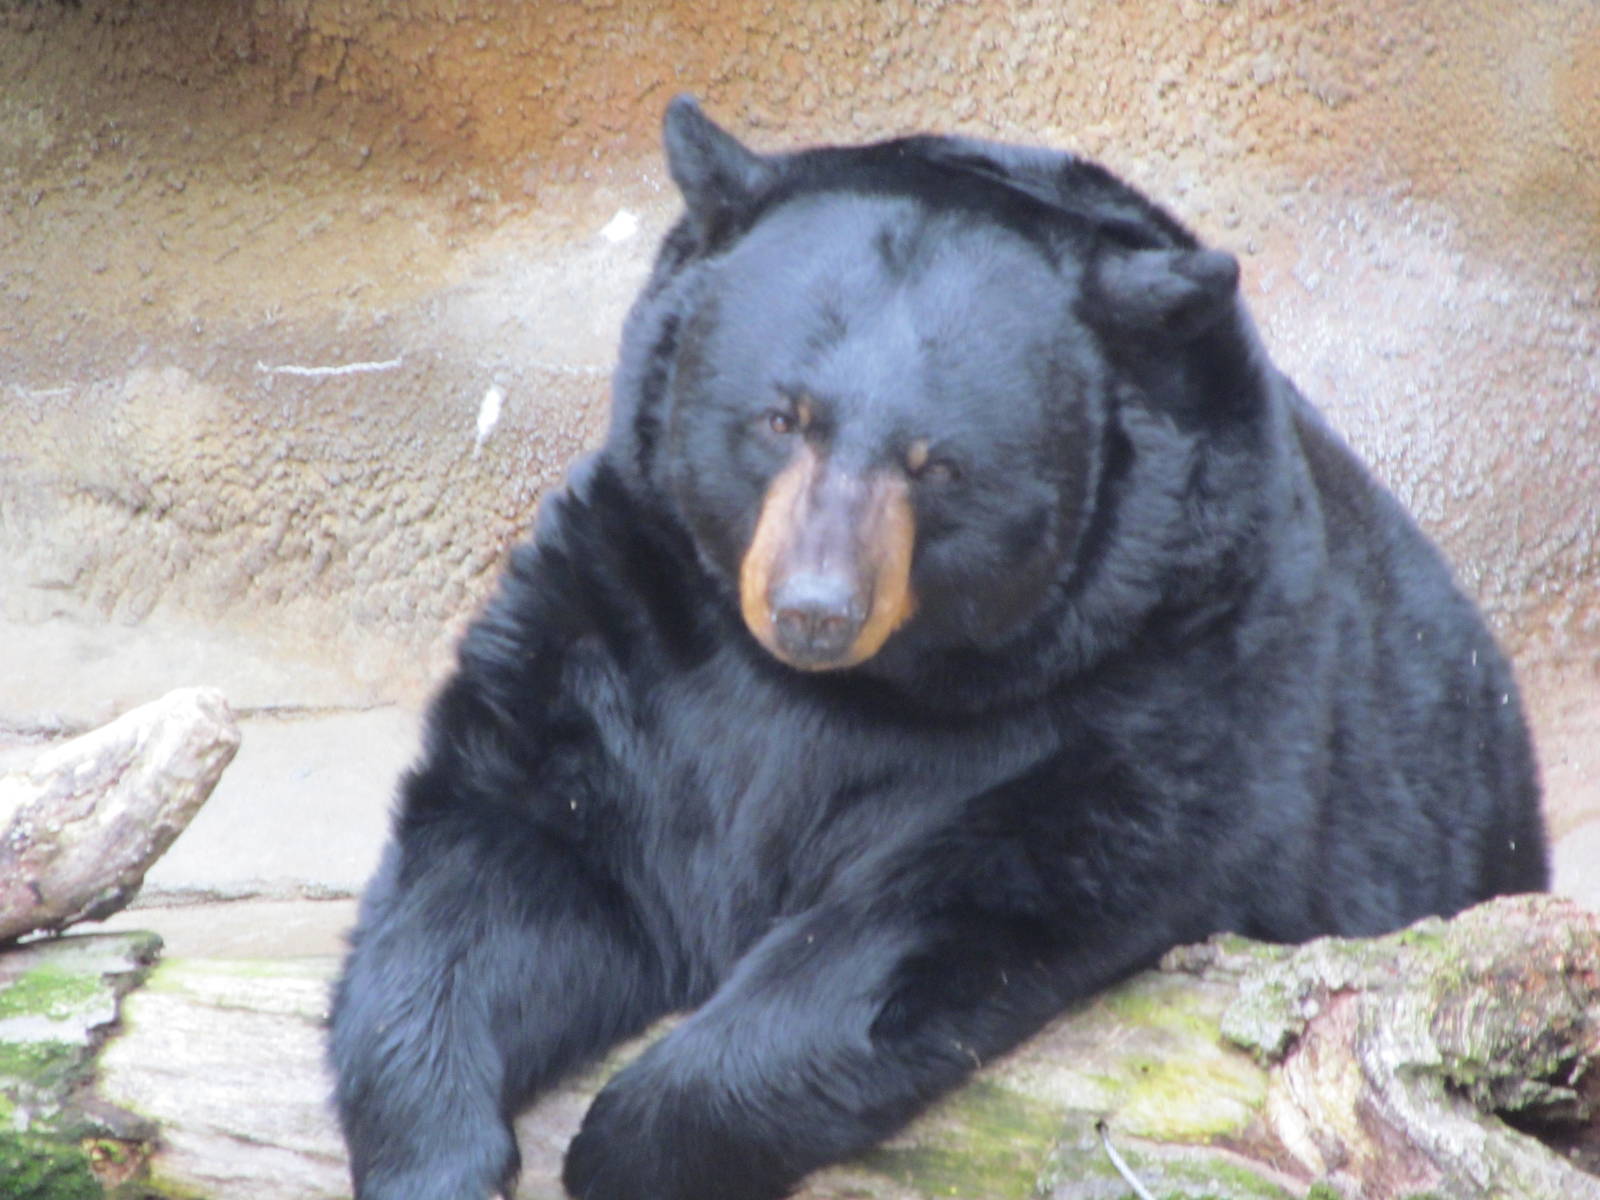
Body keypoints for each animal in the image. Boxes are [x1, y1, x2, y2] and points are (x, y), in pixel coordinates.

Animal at [328, 96, 1547, 1200]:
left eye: (938, 464)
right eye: (783, 418)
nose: (813, 609)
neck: (856, 686)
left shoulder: (1172, 664)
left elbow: (948, 910)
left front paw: (630, 1145)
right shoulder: (628, 621)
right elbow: (505, 855)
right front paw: (434, 1152)